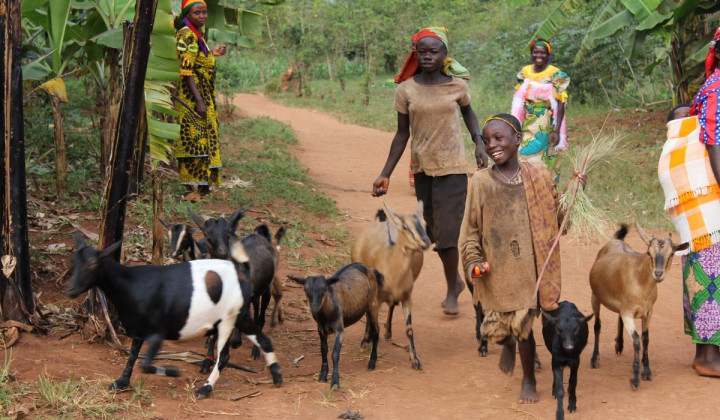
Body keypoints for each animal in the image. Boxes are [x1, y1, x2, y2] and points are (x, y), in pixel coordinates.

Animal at [67, 235, 282, 398]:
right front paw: (121, 381)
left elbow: (145, 364)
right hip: (240, 315)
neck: (130, 284)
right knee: (264, 339)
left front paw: (172, 371)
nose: (70, 289)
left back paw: (205, 388)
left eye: (92, 264)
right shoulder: (139, 329)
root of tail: (243, 271)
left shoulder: (157, 332)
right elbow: (133, 356)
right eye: (73, 261)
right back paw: (277, 376)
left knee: (224, 356)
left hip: (228, 320)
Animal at [290, 262, 386, 390]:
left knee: (377, 331)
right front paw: (323, 375)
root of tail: (369, 268)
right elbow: (323, 350)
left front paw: (335, 381)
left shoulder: (339, 329)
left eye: (324, 289)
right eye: (306, 290)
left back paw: (372, 362)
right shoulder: (321, 330)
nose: (314, 308)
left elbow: (335, 354)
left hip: (373, 305)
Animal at [350, 202, 430, 370]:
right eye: (405, 226)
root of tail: (383, 222)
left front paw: (415, 360)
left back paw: (388, 333)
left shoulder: (407, 297)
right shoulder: (377, 298)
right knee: (369, 314)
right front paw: (372, 361)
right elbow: (375, 329)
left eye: (423, 223)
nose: (426, 241)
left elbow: (409, 330)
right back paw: (365, 340)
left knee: (391, 305)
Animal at [592, 223, 692, 390]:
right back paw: (595, 359)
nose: (658, 274)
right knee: (597, 325)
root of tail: (615, 241)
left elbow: (646, 339)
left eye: (671, 254)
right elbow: (637, 340)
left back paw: (619, 345)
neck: (640, 280)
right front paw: (635, 379)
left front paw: (647, 372)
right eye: (648, 253)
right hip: (594, 296)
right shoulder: (628, 313)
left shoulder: (648, 312)